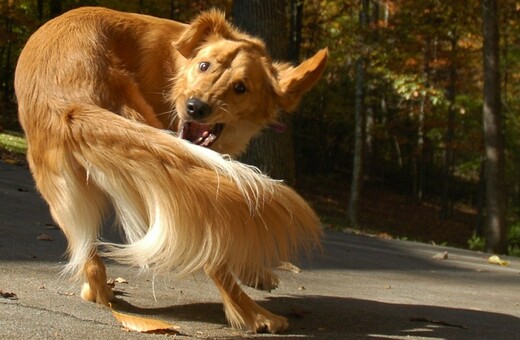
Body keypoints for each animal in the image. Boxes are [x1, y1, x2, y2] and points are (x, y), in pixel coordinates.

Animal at [14, 6, 328, 334]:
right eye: (204, 65)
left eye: (240, 87)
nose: (195, 107)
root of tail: (69, 98)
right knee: (212, 249)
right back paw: (253, 314)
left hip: (70, 192)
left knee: (91, 260)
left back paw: (98, 292)